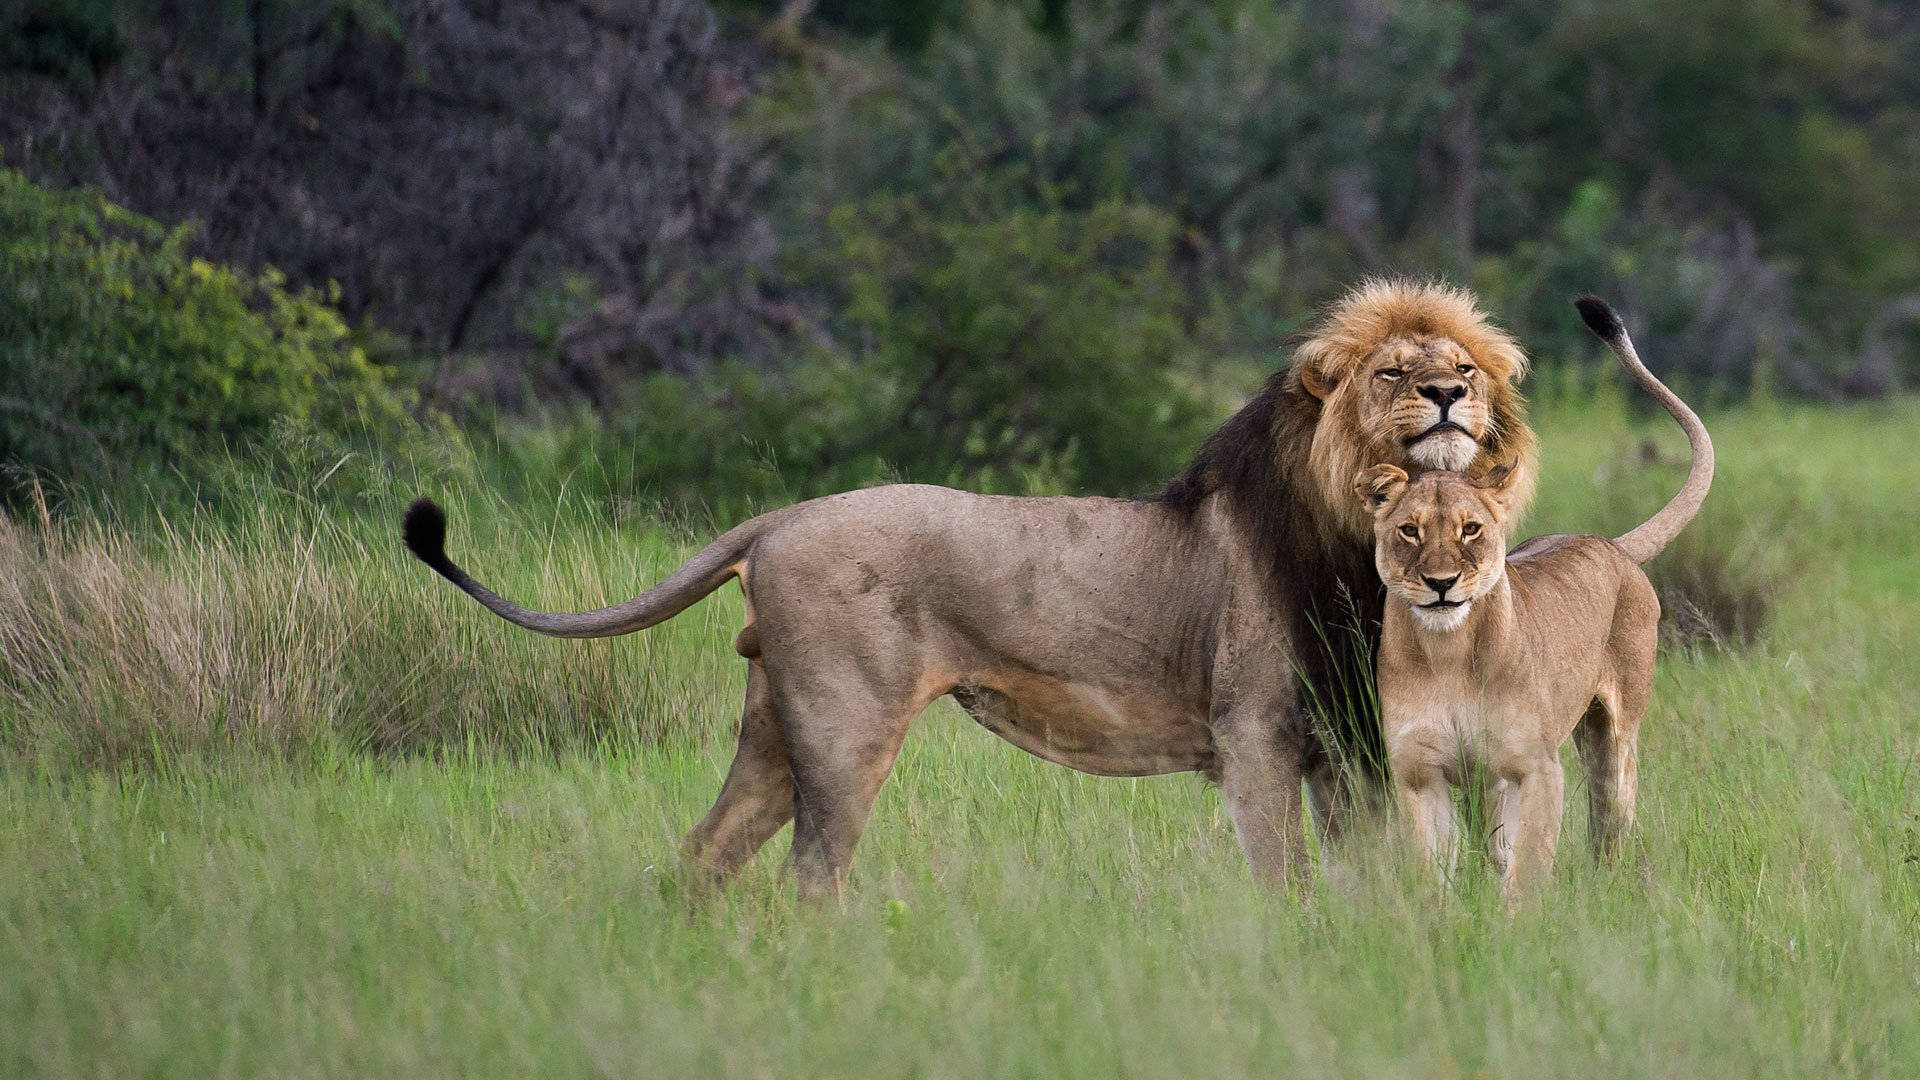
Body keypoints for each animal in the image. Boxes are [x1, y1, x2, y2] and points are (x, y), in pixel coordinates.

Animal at [402, 279, 1539, 897]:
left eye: (1464, 367)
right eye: (1392, 373)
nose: (1448, 391)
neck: (1358, 535)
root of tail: (778, 520)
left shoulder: (1345, 745)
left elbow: (1372, 876)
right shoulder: (1254, 739)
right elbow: (1289, 884)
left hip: (773, 726)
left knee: (705, 852)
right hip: (846, 725)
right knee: (810, 875)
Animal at [1352, 297, 1712, 905]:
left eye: (1471, 529)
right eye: (1409, 531)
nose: (1442, 583)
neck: (1448, 654)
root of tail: (1610, 543)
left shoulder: (1536, 768)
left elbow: (1527, 872)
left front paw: (1518, 925)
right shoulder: (1421, 775)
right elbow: (1436, 873)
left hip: (1614, 739)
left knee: (1610, 820)